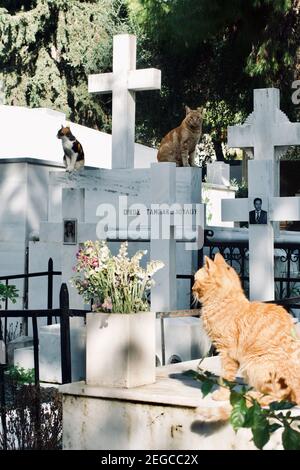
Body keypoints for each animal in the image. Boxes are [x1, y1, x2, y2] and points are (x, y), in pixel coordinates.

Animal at [192, 252, 300, 406]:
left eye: (195, 280)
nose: (192, 289)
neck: (223, 301)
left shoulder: (226, 352)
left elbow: (225, 377)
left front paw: (222, 395)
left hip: (254, 364)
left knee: (279, 398)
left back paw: (253, 396)